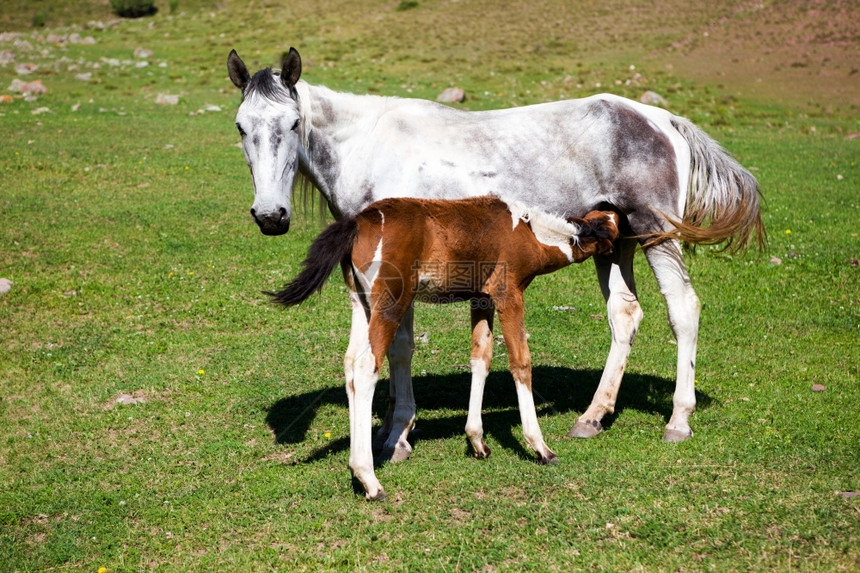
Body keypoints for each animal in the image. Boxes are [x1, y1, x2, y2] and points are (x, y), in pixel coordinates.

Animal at [227, 48, 764, 460]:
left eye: (294, 122)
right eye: (239, 127)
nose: (270, 215)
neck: (368, 146)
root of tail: (662, 119)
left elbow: (399, 349)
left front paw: (399, 435)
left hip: (657, 234)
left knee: (683, 309)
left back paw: (678, 420)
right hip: (616, 242)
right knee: (624, 314)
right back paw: (592, 416)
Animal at [270, 194, 620, 498]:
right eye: (614, 226)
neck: (528, 231)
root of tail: (359, 221)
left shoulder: (481, 298)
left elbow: (481, 357)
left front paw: (477, 441)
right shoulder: (508, 295)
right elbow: (521, 362)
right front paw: (541, 447)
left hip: (361, 304)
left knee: (350, 365)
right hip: (391, 303)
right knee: (366, 367)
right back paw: (368, 478)